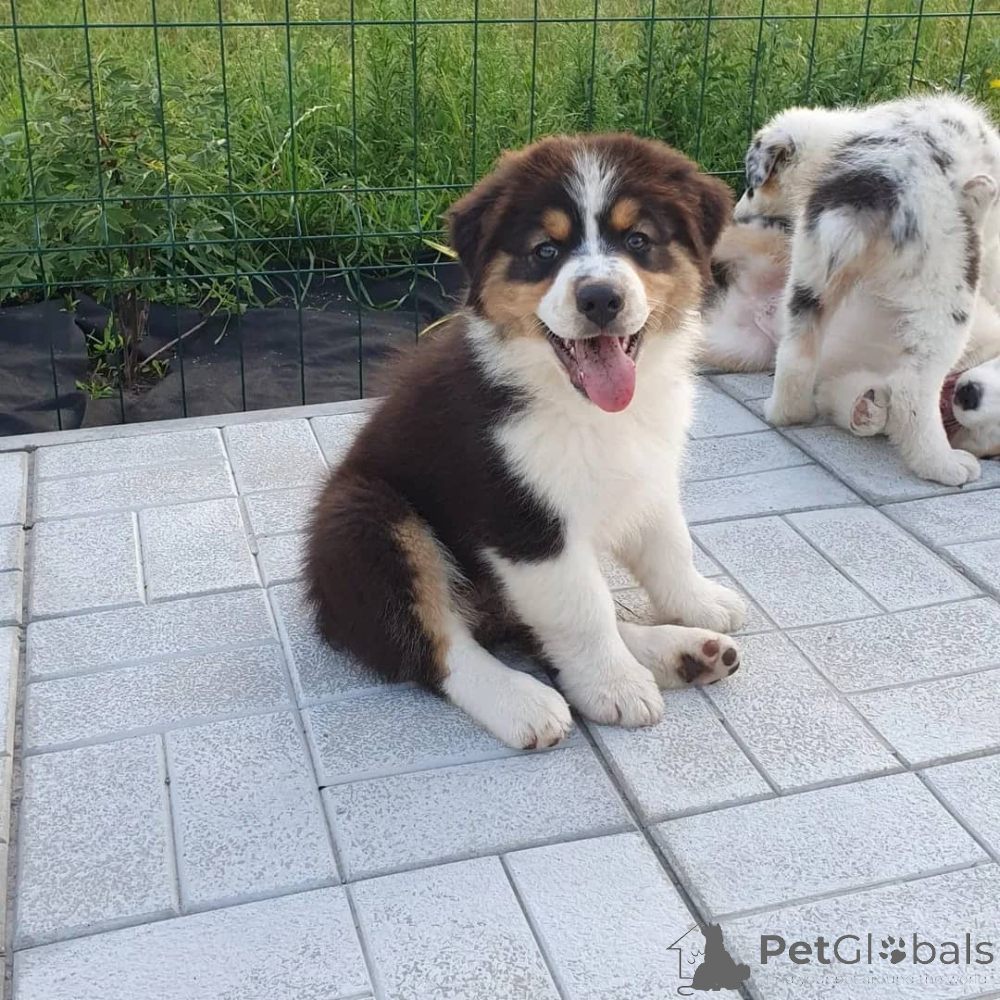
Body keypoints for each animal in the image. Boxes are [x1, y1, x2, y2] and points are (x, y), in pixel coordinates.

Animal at [305, 134, 747, 750]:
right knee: (434, 645)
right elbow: (582, 609)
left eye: (638, 240)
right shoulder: (523, 520)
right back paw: (525, 701)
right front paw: (614, 688)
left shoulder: (648, 473)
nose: (600, 298)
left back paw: (687, 651)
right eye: (545, 251)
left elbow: (669, 547)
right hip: (365, 517)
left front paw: (700, 603)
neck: (585, 407)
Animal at [702, 207, 1000, 460]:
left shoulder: (838, 384)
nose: (969, 396)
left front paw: (869, 412)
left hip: (740, 347)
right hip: (768, 245)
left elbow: (849, 398)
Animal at [734, 94, 1000, 485]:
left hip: (810, 269)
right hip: (945, 282)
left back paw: (789, 412)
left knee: (797, 356)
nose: (736, 216)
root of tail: (875, 181)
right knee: (911, 388)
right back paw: (942, 464)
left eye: (752, 187)